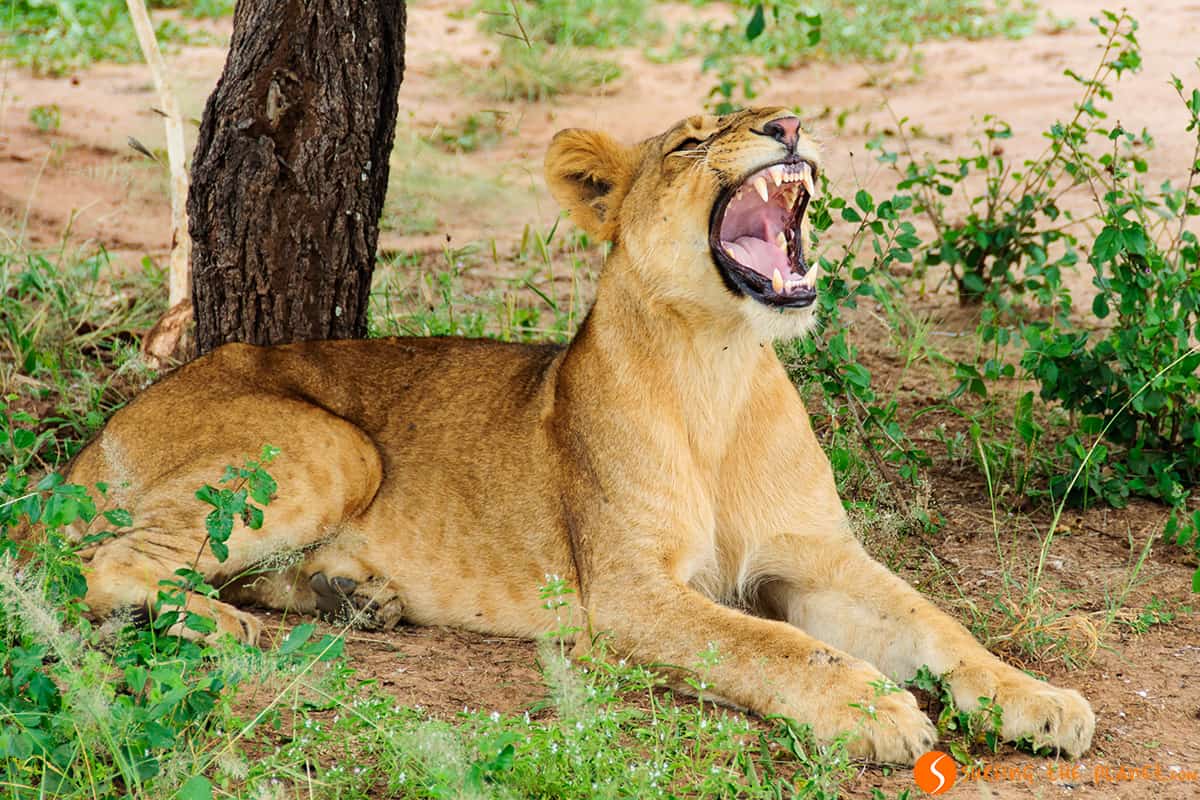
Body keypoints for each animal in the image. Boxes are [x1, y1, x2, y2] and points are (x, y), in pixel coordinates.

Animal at [62, 108, 1094, 764]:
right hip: (335, 448)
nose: (791, 128)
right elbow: (770, 644)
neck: (719, 365)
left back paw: (352, 594)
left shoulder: (815, 557)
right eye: (692, 141)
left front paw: (1040, 702)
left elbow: (936, 621)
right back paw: (224, 627)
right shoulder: (628, 592)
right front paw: (872, 707)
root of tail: (118, 417)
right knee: (102, 565)